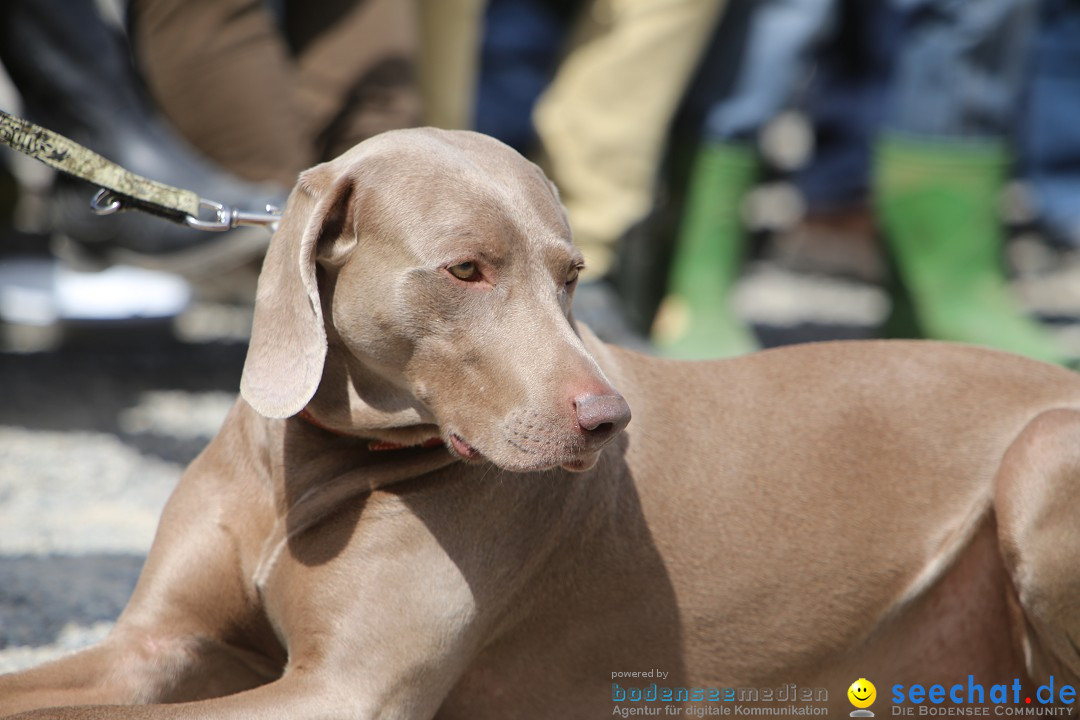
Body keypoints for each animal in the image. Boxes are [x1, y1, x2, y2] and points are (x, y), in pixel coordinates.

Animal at [2, 126, 1080, 716]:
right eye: (466, 269)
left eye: (573, 275)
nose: (609, 420)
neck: (313, 468)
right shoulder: (152, 648)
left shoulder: (341, 691)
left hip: (1041, 453)